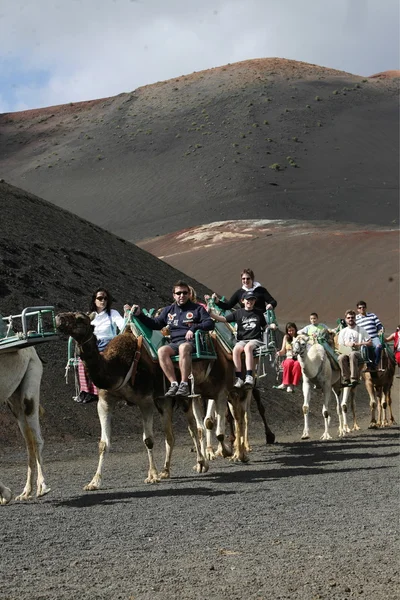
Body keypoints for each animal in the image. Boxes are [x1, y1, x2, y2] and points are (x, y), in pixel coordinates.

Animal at [55, 312, 209, 490]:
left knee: (193, 428)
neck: (117, 366)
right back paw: (165, 471)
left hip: (184, 396)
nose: (58, 318)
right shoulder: (105, 401)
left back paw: (201, 464)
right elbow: (103, 444)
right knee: (170, 434)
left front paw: (152, 475)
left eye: (80, 318)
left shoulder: (145, 401)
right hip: (163, 400)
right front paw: (93, 482)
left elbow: (148, 440)